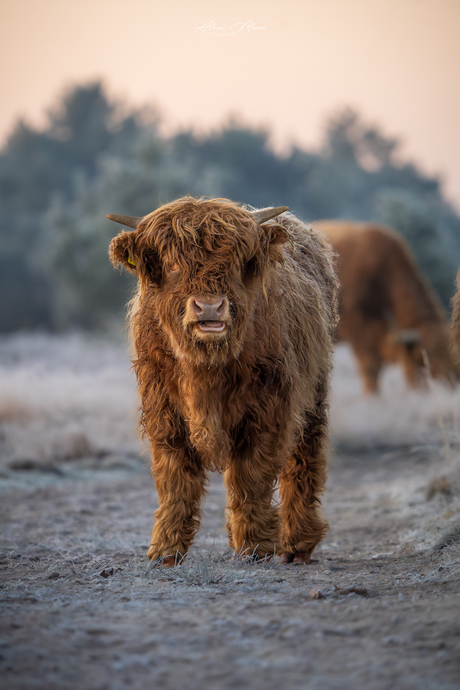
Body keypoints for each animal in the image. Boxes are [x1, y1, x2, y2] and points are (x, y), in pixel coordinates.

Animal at [108, 196, 338, 560]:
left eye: (236, 263)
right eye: (172, 266)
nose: (209, 308)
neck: (204, 365)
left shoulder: (269, 409)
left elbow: (251, 475)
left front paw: (256, 544)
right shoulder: (163, 410)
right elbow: (175, 478)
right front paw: (165, 549)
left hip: (314, 392)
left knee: (304, 458)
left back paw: (298, 542)